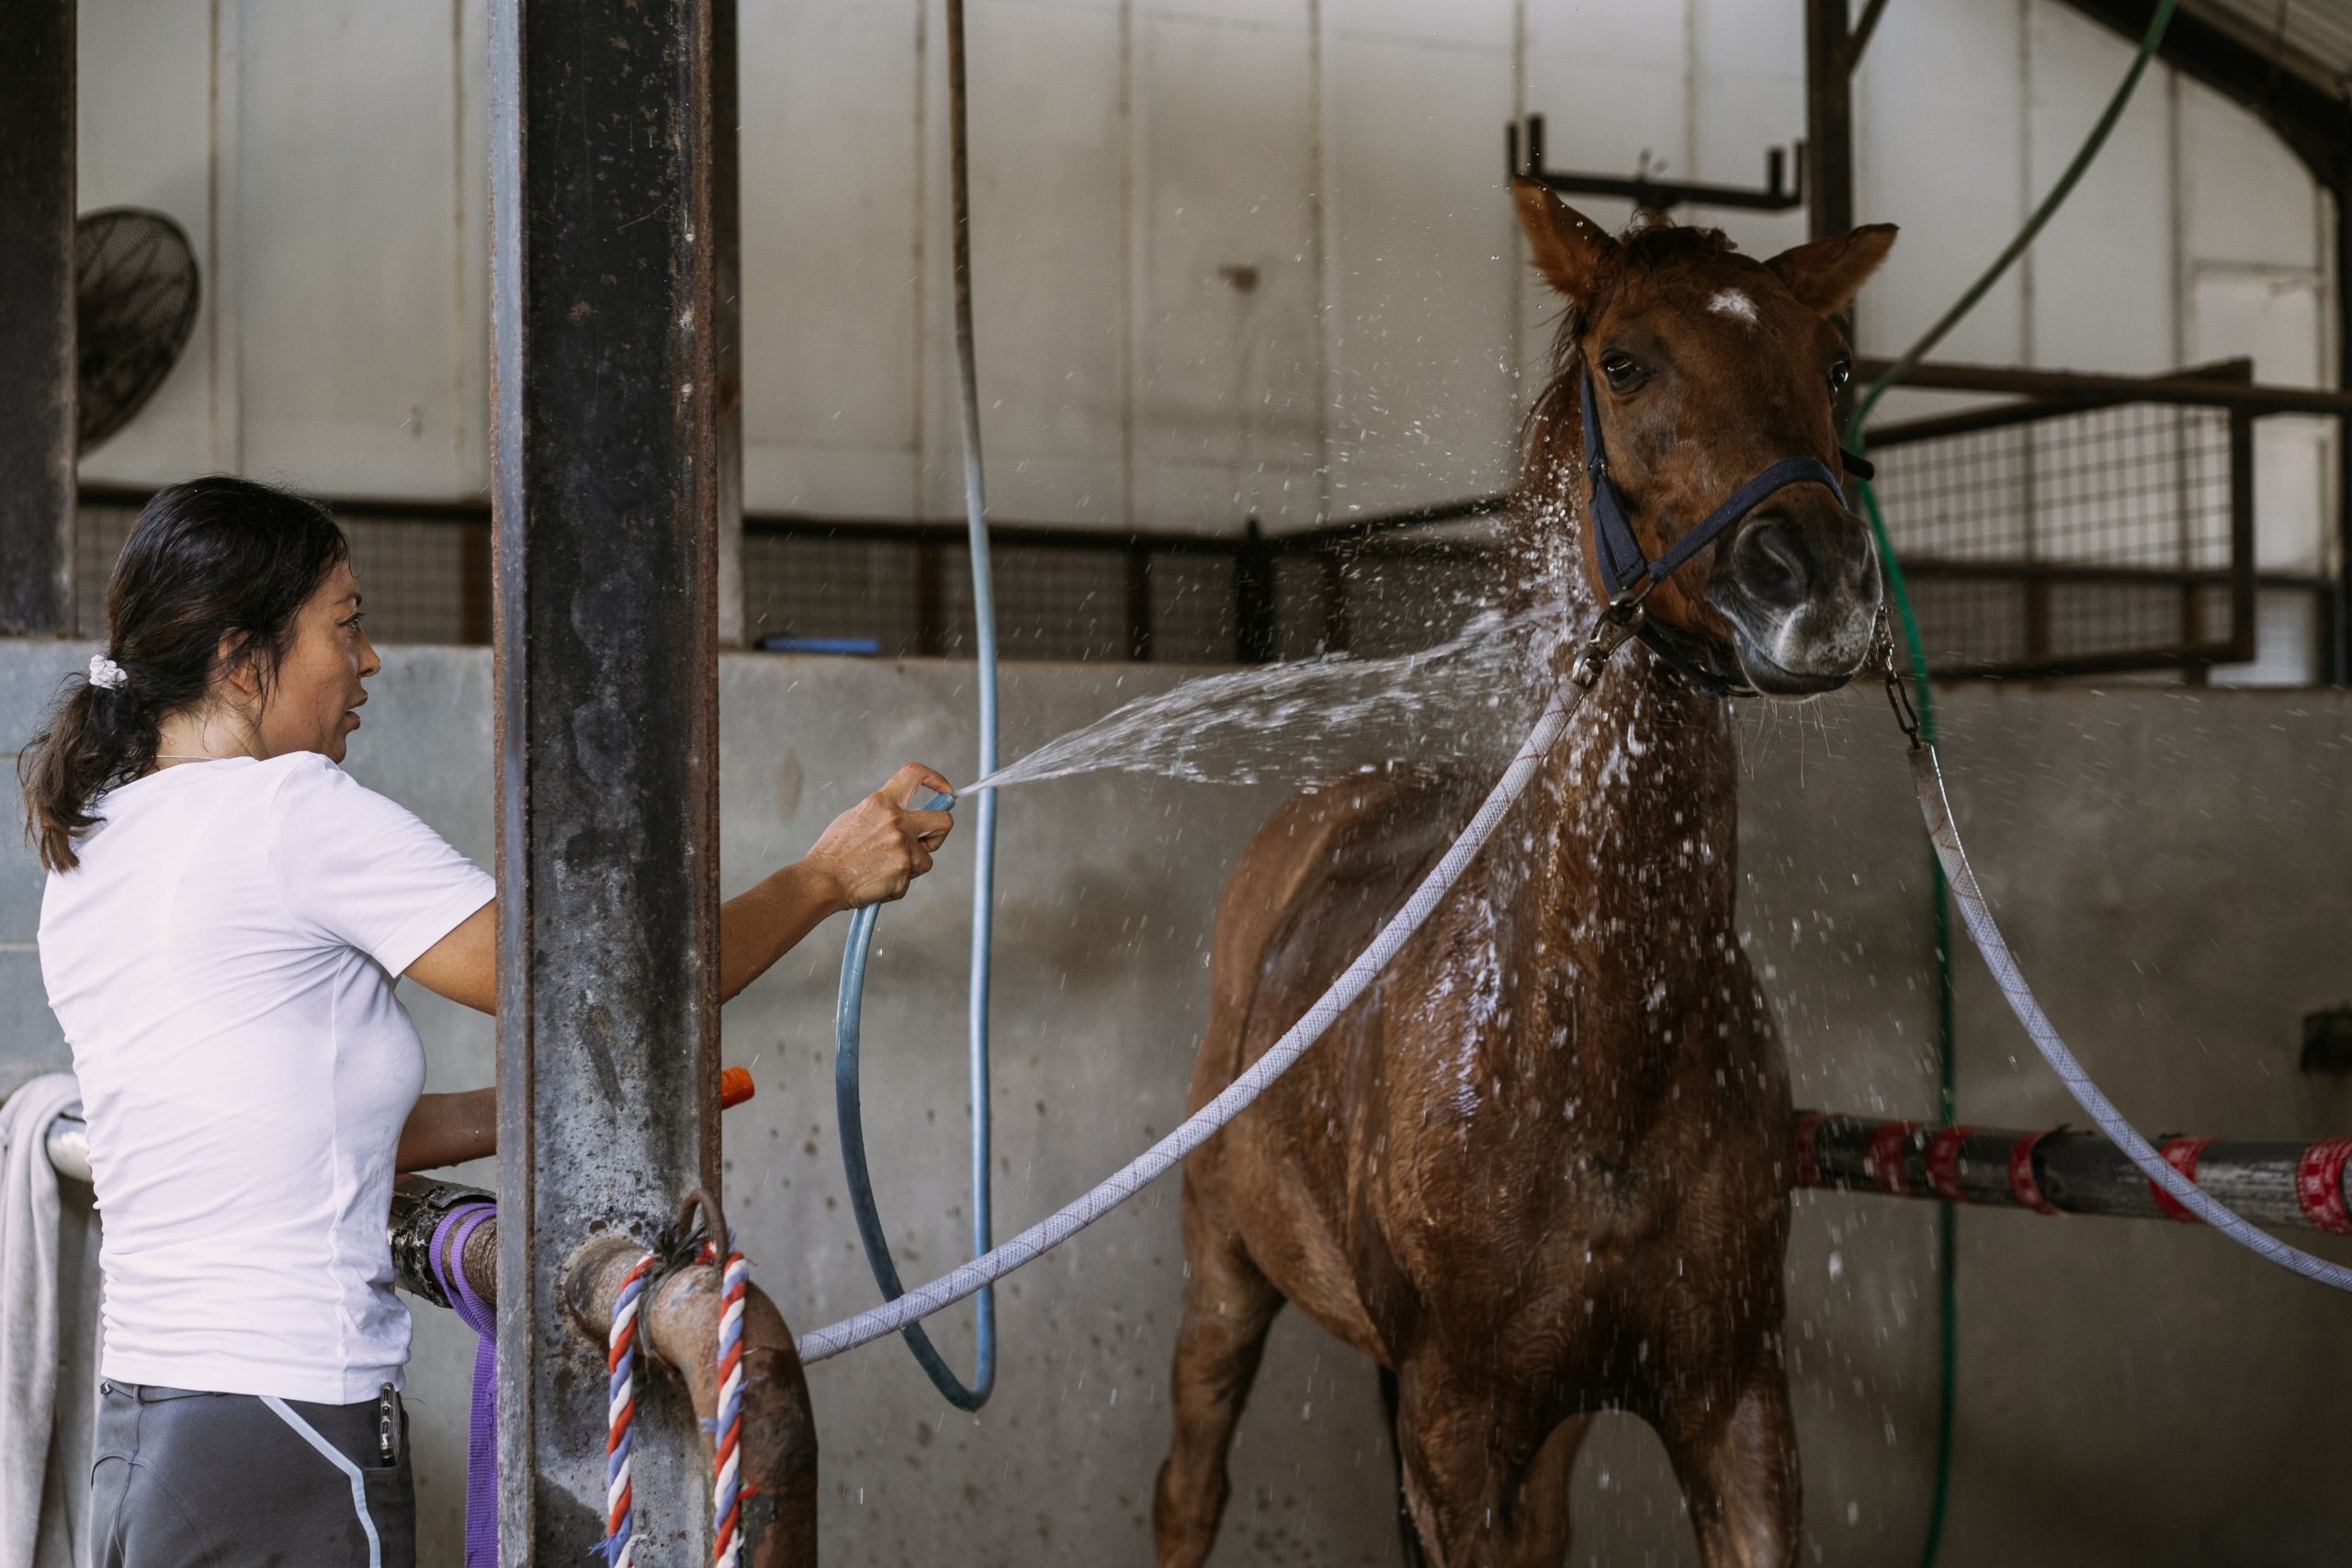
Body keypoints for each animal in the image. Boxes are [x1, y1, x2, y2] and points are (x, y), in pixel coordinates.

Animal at [1151, 181, 1896, 1568]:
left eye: (1832, 364)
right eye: (1625, 361)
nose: (1815, 581)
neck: (1589, 1058)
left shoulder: (1733, 1403)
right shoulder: (1456, 1427)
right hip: (1224, 1277)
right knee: (1188, 1486)